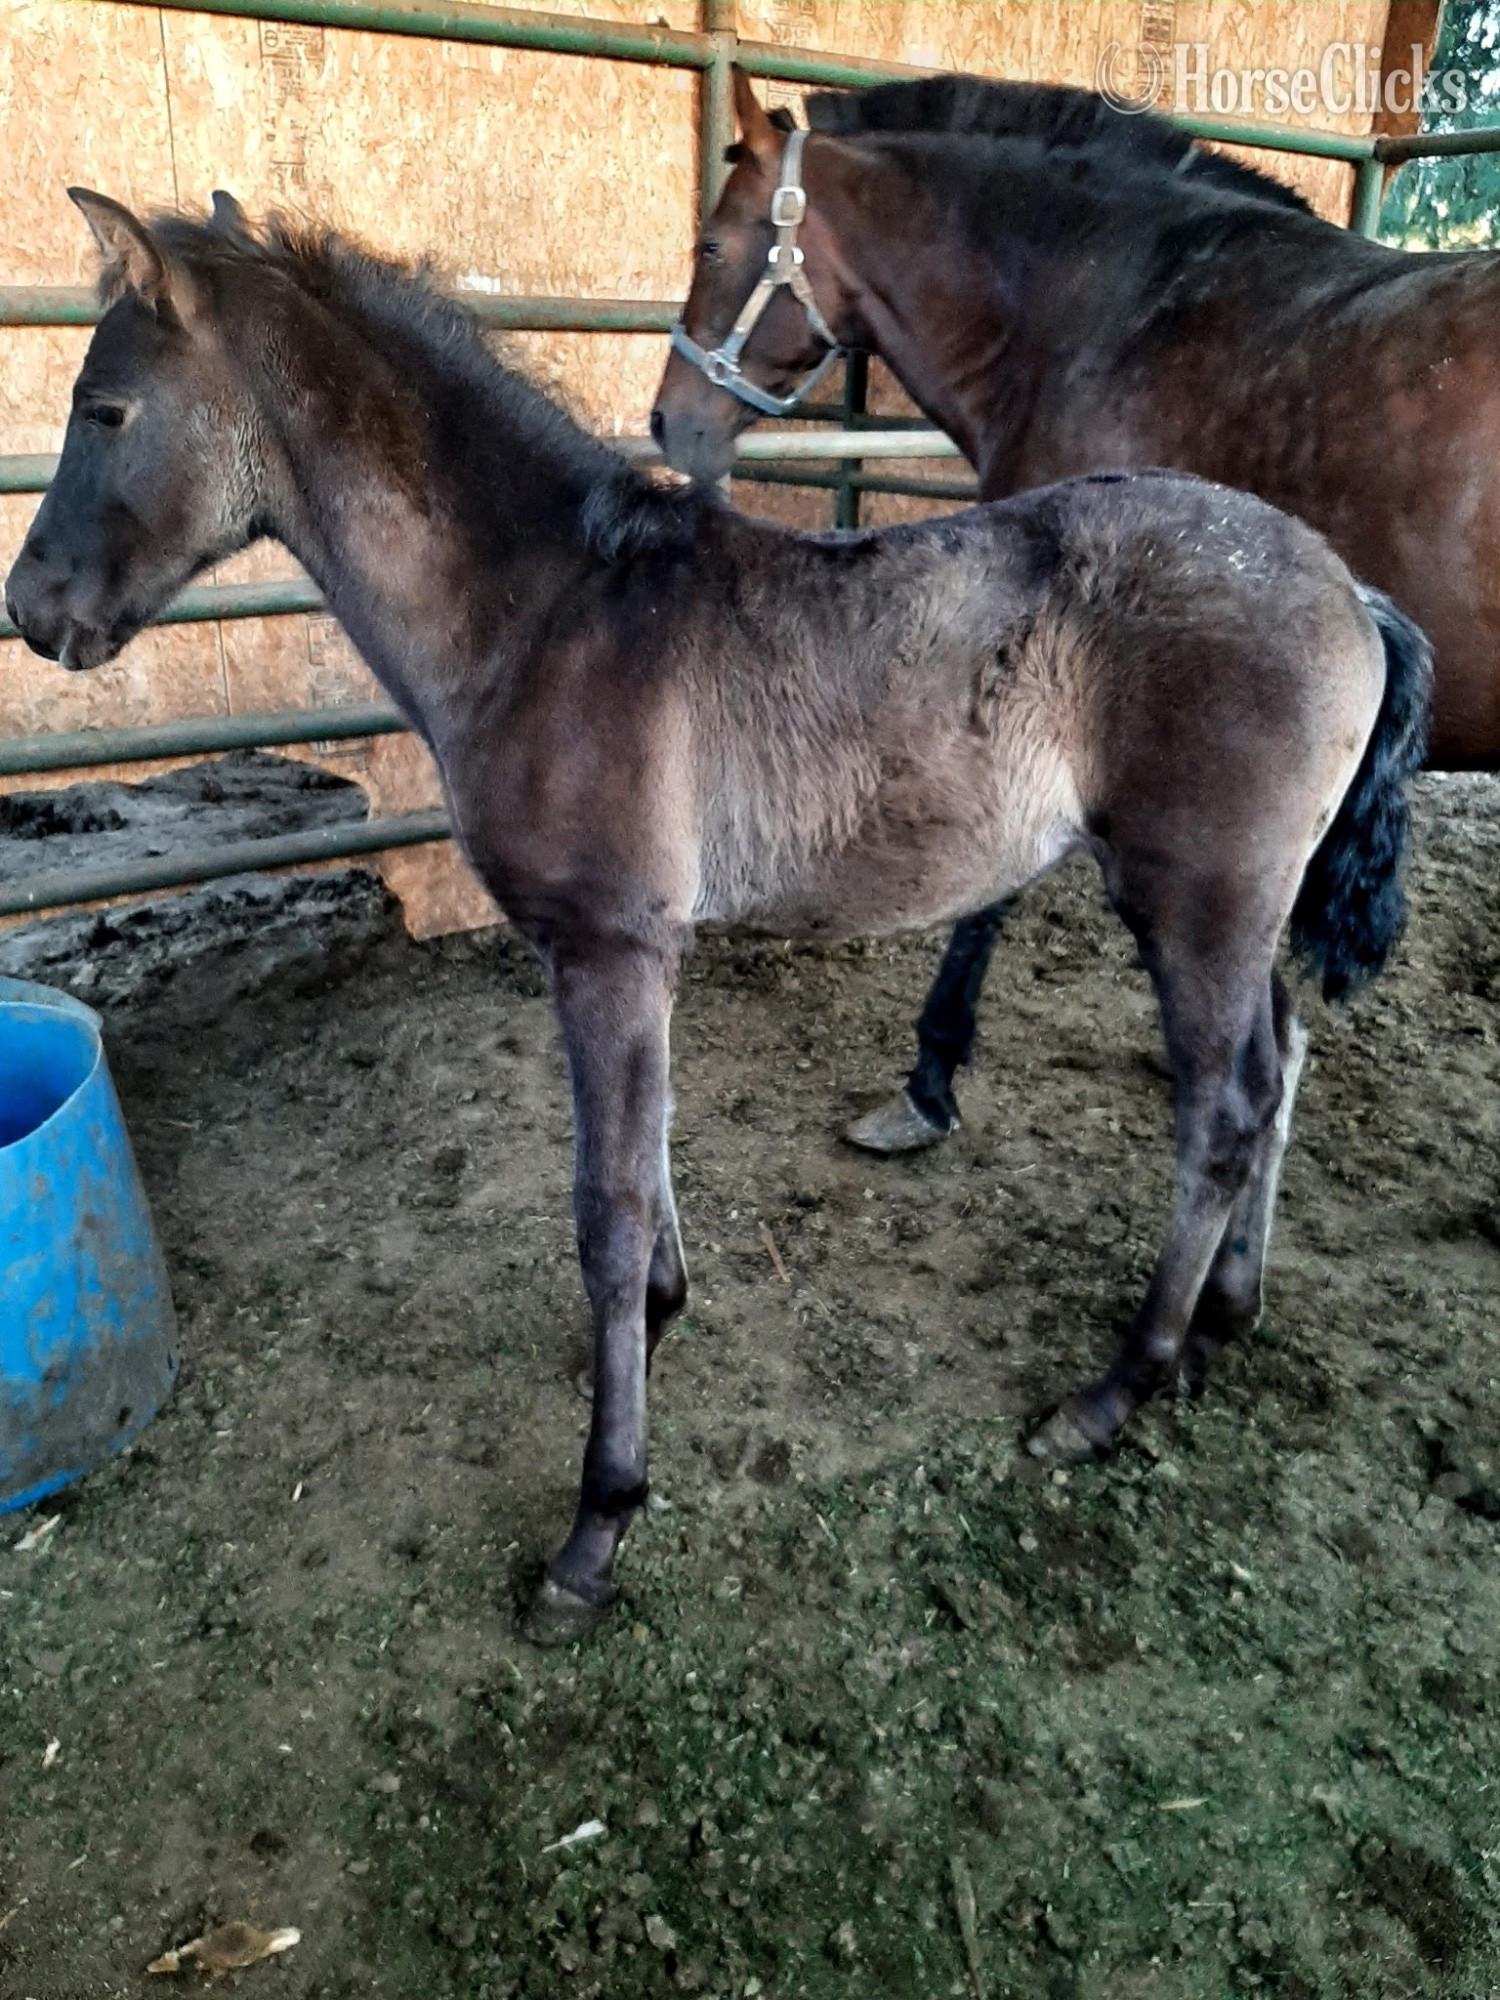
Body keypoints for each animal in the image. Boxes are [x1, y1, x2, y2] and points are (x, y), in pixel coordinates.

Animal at [5, 190, 1428, 1642]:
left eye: (104, 407)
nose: (32, 606)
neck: (550, 614)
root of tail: (1350, 591)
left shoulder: (608, 945)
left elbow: (609, 1202)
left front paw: (597, 1524)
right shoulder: (638, 950)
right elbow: (653, 1152)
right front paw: (662, 1316)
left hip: (1195, 898)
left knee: (1225, 1109)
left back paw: (1116, 1386)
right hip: (1246, 904)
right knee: (1283, 1059)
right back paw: (1222, 1319)